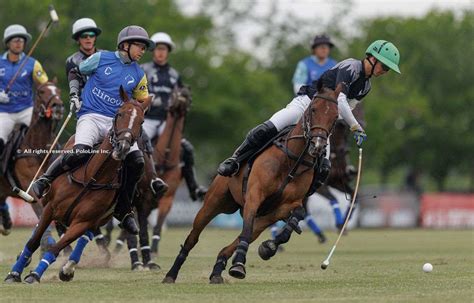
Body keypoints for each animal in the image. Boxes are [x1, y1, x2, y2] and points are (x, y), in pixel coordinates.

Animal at [0, 81, 63, 238]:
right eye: (41, 91)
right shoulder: (30, 186)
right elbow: (42, 217)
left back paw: (7, 224)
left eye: (58, 90)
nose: (58, 106)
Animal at [163, 86, 340, 284]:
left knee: (234, 241)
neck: (292, 160)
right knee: (193, 238)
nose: (318, 145)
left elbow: (298, 212)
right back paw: (171, 274)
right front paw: (239, 264)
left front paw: (269, 247)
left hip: (263, 218)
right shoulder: (254, 196)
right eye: (314, 109)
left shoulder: (286, 205)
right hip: (213, 204)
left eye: (335, 116)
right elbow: (246, 231)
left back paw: (217, 271)